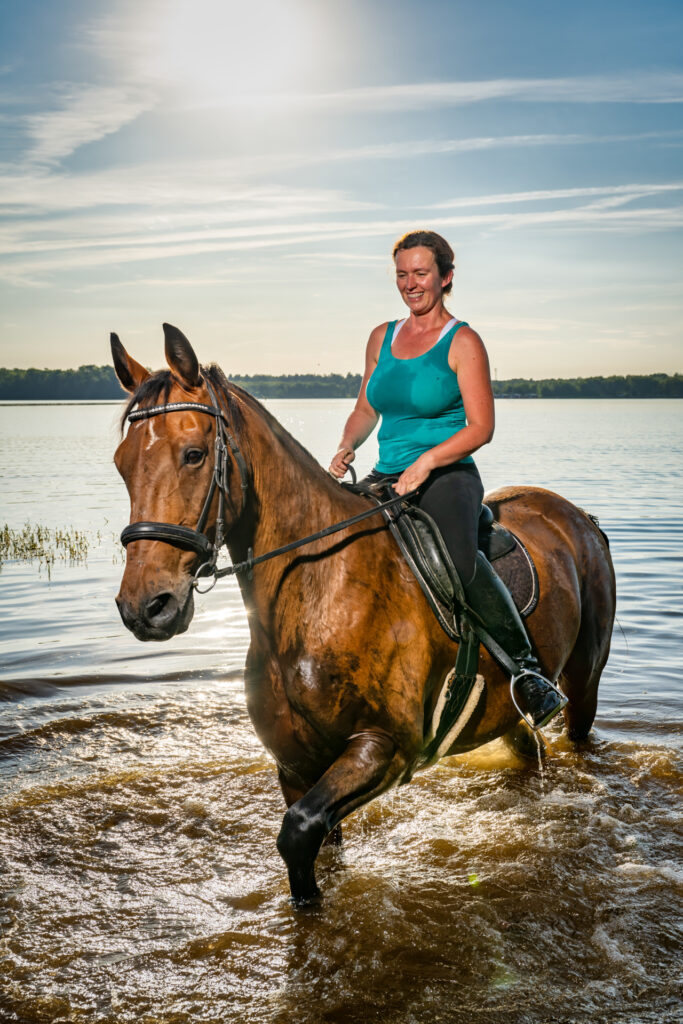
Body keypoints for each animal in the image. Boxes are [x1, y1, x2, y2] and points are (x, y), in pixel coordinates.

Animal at [113, 323, 618, 901]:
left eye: (194, 454)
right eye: (122, 463)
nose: (145, 607)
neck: (318, 592)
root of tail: (576, 516)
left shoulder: (385, 748)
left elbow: (297, 834)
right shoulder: (296, 767)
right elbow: (311, 849)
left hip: (583, 682)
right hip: (503, 712)